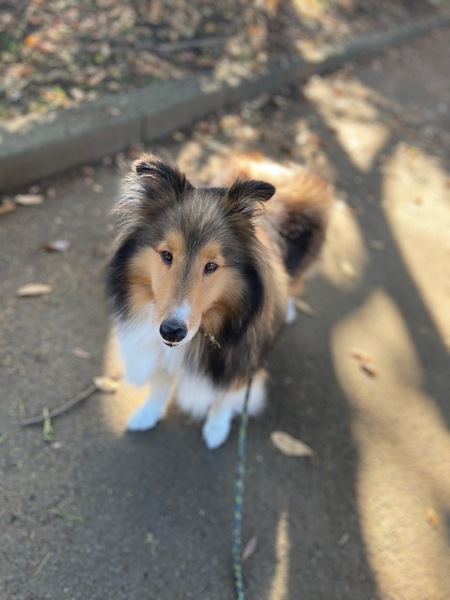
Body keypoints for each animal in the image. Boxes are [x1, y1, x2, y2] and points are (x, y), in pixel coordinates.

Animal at [108, 152, 333, 449]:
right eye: (167, 255)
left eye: (211, 266)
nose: (172, 332)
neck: (210, 325)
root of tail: (280, 168)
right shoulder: (157, 348)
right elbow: (159, 382)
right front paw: (147, 414)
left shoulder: (242, 362)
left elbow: (224, 398)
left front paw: (216, 428)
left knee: (296, 282)